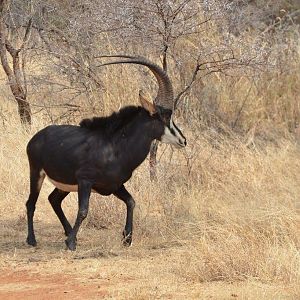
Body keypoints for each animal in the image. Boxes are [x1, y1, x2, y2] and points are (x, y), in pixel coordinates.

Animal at [25, 55, 186, 250]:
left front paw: (127, 238)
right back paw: (32, 239)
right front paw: (71, 243)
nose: (183, 140)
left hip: (65, 184)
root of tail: (37, 137)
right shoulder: (85, 181)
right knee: (31, 203)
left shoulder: (114, 185)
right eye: (165, 116)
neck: (116, 147)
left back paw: (68, 233)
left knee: (53, 199)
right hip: (36, 173)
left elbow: (131, 202)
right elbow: (83, 210)